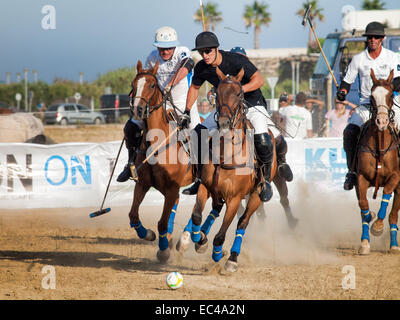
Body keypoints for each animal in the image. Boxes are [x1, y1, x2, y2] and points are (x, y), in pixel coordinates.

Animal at [128, 60, 222, 262]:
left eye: (151, 85)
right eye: (133, 85)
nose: (137, 110)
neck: (158, 143)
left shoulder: (172, 188)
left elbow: (163, 223)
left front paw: (164, 251)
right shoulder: (143, 184)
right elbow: (133, 215)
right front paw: (149, 235)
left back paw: (187, 241)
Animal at [178, 68, 278, 272]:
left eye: (239, 94)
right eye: (217, 93)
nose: (224, 122)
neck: (226, 153)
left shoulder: (235, 198)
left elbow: (221, 234)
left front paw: (218, 254)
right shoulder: (205, 187)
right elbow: (197, 216)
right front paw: (200, 240)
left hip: (255, 196)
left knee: (243, 222)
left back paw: (232, 257)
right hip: (218, 192)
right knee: (215, 210)